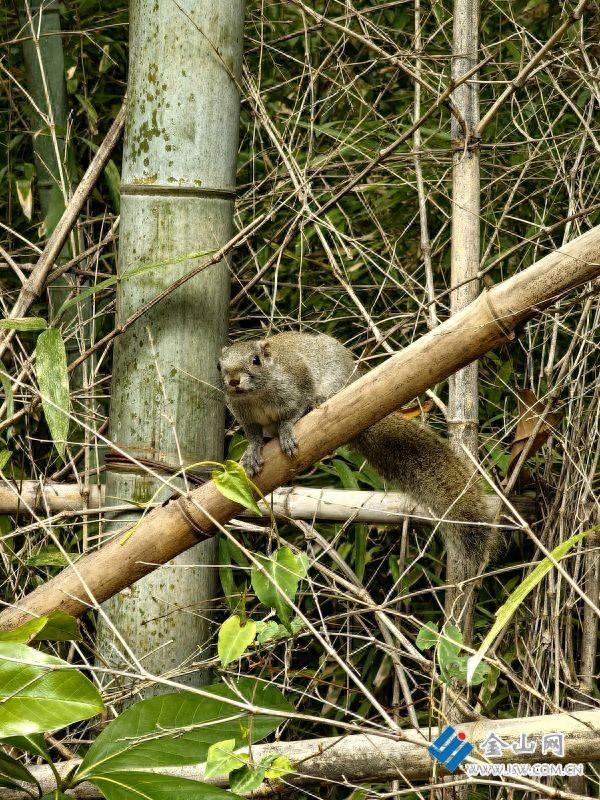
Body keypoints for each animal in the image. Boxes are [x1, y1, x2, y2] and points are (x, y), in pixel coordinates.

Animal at [218, 328, 494, 564]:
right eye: (220, 366)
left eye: (255, 360)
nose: (233, 381)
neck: (256, 396)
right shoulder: (245, 417)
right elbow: (253, 436)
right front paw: (251, 452)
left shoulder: (297, 384)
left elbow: (294, 411)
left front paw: (286, 432)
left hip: (336, 380)